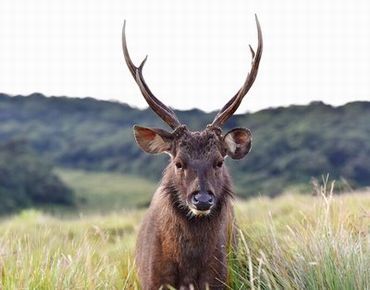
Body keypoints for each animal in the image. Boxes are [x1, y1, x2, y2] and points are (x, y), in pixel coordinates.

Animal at [123, 15, 262, 290]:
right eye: (178, 162)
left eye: (218, 162)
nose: (203, 200)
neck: (189, 269)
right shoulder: (152, 279)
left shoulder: (220, 278)